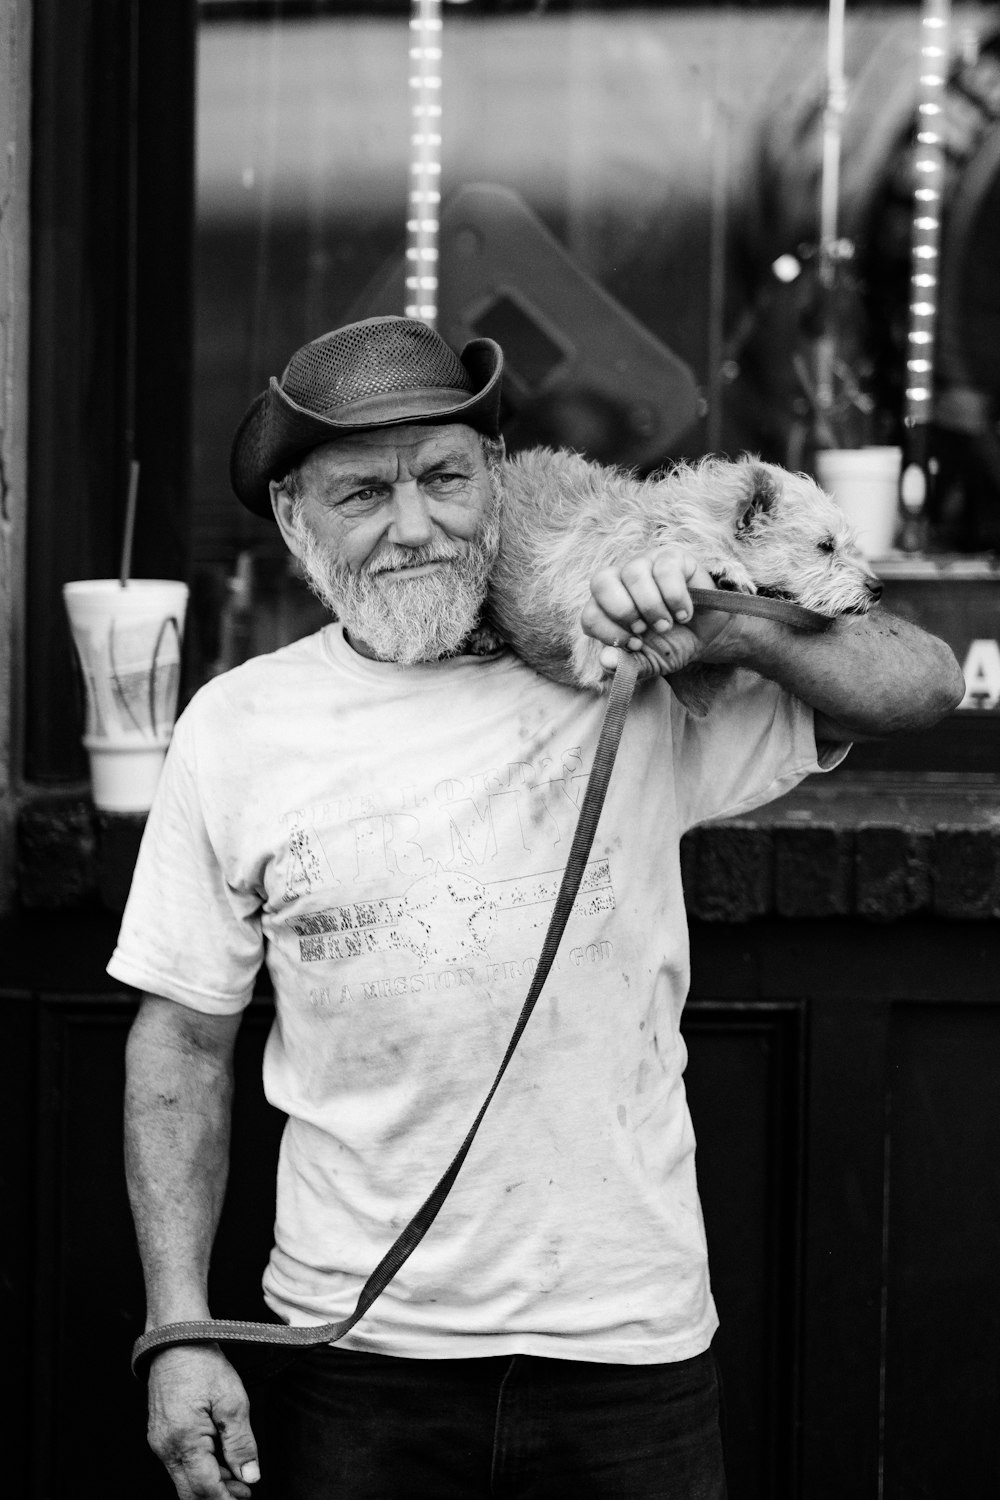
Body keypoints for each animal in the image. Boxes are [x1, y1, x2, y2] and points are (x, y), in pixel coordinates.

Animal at [488, 441, 887, 717]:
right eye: (825, 546)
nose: (878, 588)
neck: (669, 525)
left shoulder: (696, 684)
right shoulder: (598, 652)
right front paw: (719, 567)